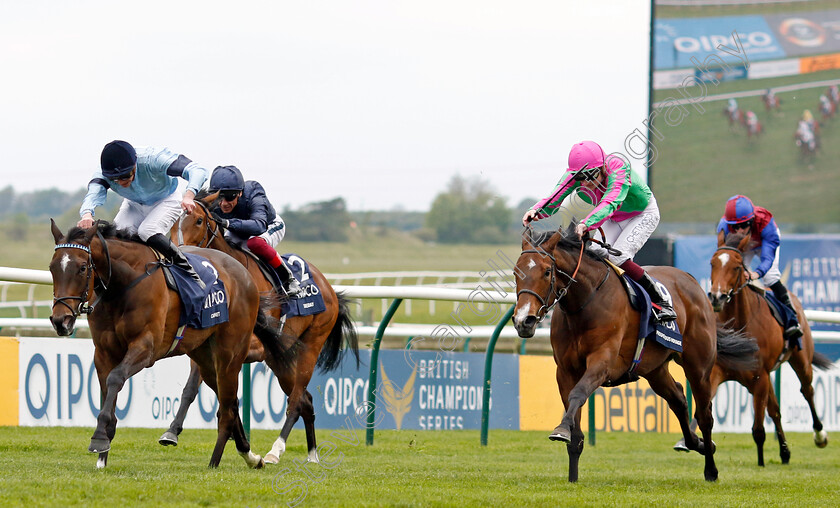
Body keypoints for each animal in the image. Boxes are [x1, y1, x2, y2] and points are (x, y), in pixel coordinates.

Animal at [49, 218, 294, 468]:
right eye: (52, 268)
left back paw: (215, 462)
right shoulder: (103, 353)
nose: (61, 320)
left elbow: (116, 378)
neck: (123, 284)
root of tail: (245, 275)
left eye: (82, 267)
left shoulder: (145, 347)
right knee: (230, 403)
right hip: (205, 359)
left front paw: (98, 438)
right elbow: (108, 391)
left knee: (227, 410)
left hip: (230, 354)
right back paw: (251, 456)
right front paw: (103, 454)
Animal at [512, 224, 760, 482]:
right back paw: (699, 444)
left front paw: (561, 430)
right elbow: (576, 427)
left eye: (547, 272)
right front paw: (572, 476)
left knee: (705, 415)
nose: (523, 321)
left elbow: (578, 393)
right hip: (655, 369)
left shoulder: (602, 362)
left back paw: (710, 468)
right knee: (678, 399)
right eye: (515, 272)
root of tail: (692, 281)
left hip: (699, 367)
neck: (584, 302)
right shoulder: (565, 371)